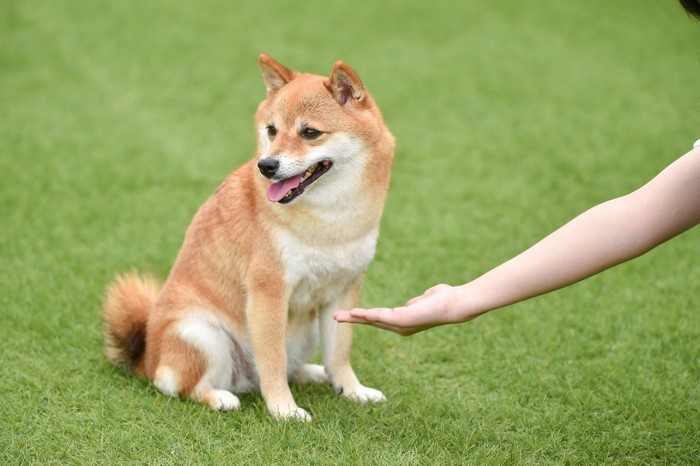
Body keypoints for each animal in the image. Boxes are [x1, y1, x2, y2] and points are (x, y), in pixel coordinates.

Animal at [100, 54, 394, 422]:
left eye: (310, 132)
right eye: (271, 130)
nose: (266, 165)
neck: (331, 220)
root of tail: (146, 358)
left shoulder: (342, 291)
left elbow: (339, 353)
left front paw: (352, 391)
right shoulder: (269, 291)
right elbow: (273, 359)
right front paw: (284, 410)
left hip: (307, 327)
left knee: (290, 366)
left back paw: (312, 373)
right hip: (201, 335)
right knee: (178, 386)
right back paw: (219, 397)